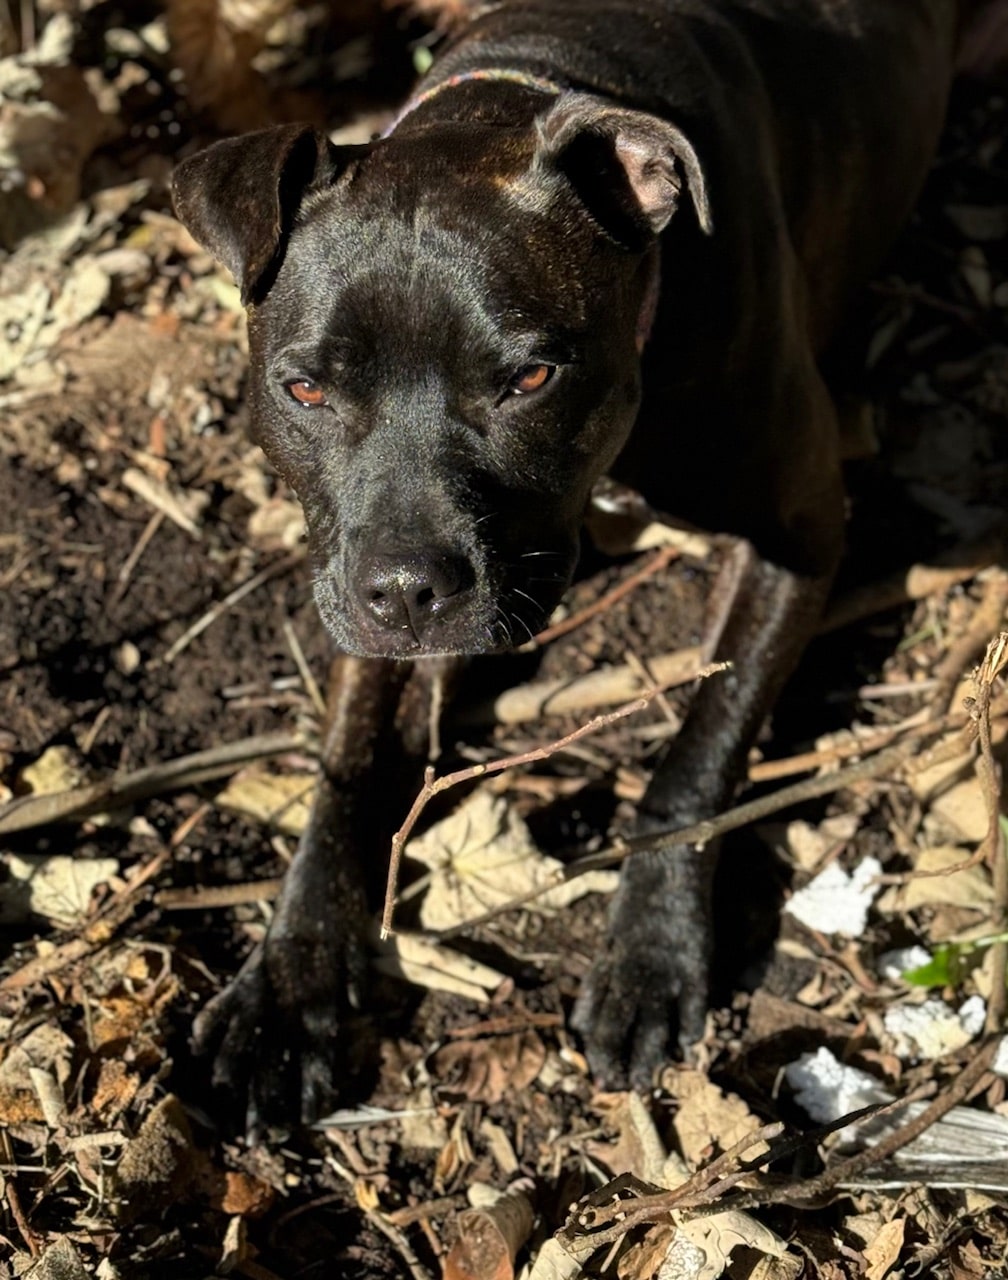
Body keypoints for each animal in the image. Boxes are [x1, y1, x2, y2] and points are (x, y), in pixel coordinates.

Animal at [171, 0, 996, 1130]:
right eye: (303, 390)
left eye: (529, 378)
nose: (410, 591)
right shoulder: (350, 575)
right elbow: (344, 765)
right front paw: (288, 981)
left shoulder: (803, 530)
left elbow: (697, 750)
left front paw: (650, 956)